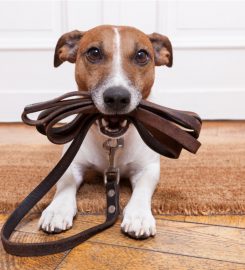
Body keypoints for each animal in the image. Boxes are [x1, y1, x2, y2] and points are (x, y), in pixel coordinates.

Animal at [38, 24, 172, 238]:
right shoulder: (72, 163)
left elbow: (143, 189)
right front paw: (57, 209)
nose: (117, 97)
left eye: (141, 55)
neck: (112, 141)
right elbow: (65, 183)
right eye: (94, 52)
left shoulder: (148, 168)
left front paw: (139, 215)